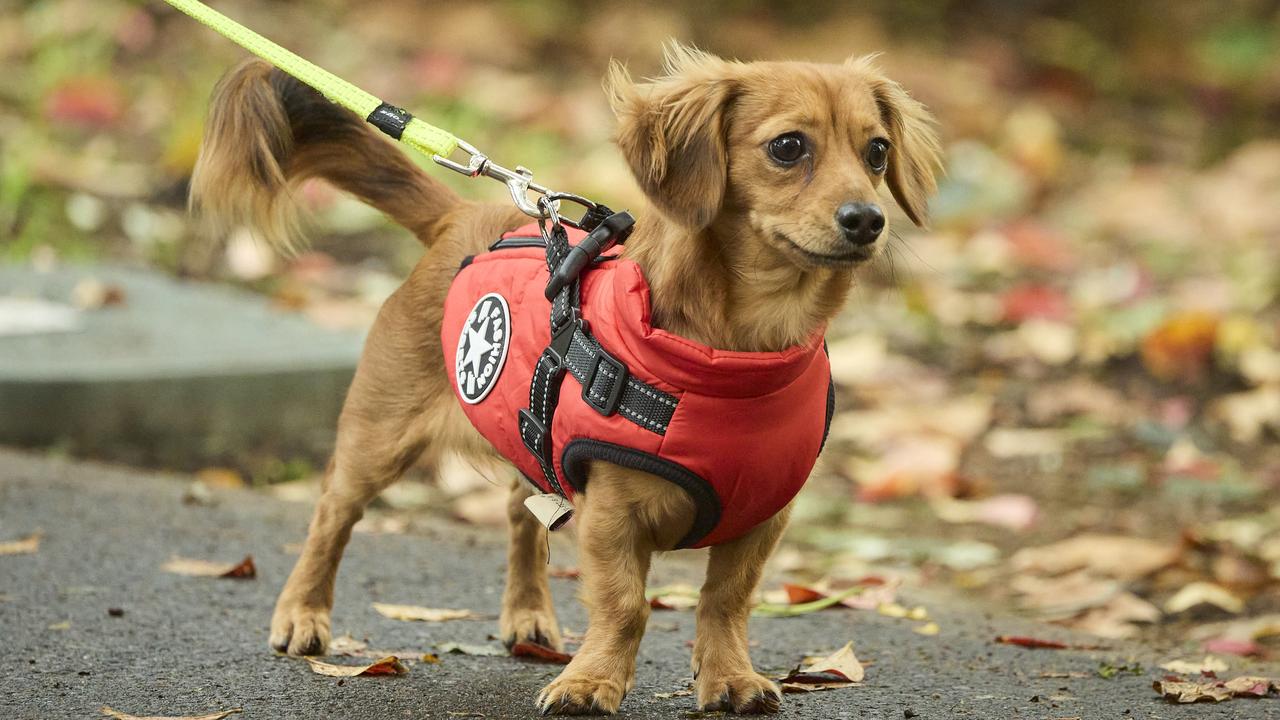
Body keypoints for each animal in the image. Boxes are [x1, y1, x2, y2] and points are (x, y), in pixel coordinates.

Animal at [192, 44, 942, 712]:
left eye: (877, 152)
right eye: (788, 147)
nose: (867, 219)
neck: (740, 356)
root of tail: (462, 216)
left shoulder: (763, 516)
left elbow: (726, 601)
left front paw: (729, 678)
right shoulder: (611, 512)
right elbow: (625, 605)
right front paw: (593, 683)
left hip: (529, 430)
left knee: (518, 513)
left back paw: (528, 615)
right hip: (378, 439)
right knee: (333, 515)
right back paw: (303, 613)